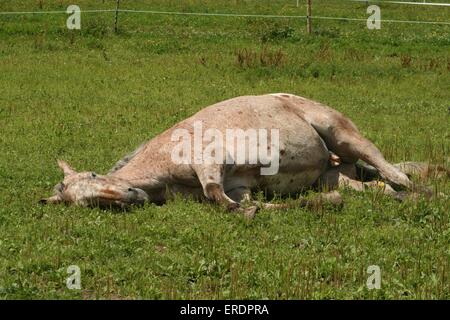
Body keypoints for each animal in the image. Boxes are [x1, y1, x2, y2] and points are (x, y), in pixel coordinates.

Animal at [40, 94, 442, 216]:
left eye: (93, 176)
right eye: (89, 202)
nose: (130, 195)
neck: (163, 165)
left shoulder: (210, 162)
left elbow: (216, 197)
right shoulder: (237, 186)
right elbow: (238, 201)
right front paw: (320, 203)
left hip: (342, 134)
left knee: (393, 172)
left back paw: (422, 193)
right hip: (335, 173)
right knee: (379, 187)